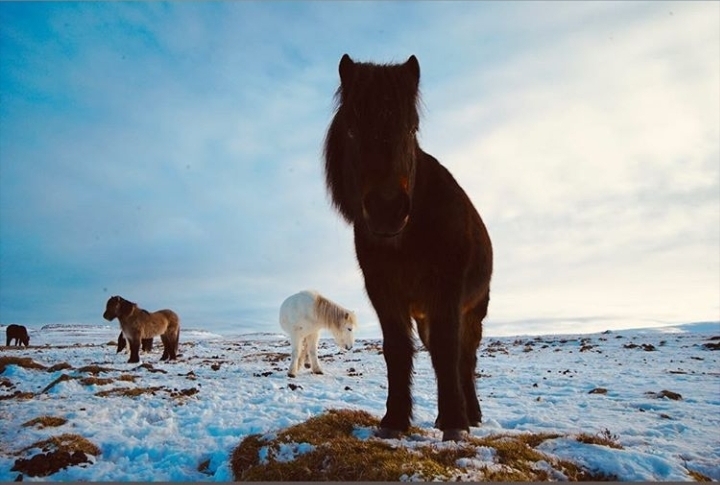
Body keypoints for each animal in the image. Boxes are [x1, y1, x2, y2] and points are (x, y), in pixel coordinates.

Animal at [323, 54, 493, 441]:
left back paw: (471, 414)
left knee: (465, 359)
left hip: (471, 312)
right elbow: (397, 350)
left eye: (411, 129)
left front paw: (456, 424)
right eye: (352, 130)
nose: (387, 209)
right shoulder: (384, 292)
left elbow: (448, 352)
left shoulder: (446, 290)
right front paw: (395, 420)